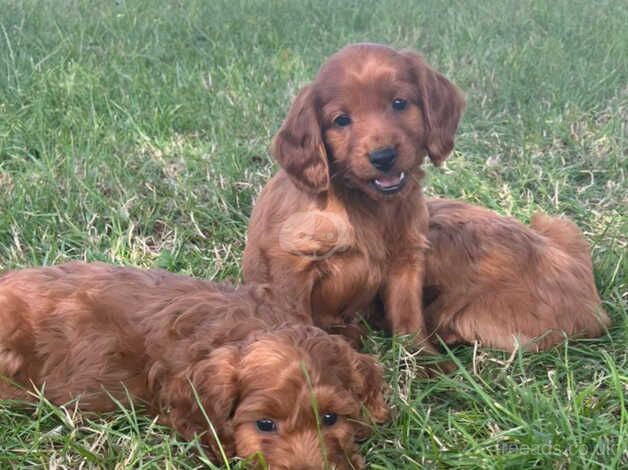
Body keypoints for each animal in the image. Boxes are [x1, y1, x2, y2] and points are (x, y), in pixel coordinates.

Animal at [243, 44, 464, 352]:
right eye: (341, 120)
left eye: (399, 103)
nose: (383, 157)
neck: (366, 204)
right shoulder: (291, 267)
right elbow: (298, 320)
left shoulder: (406, 258)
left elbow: (408, 316)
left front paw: (422, 357)